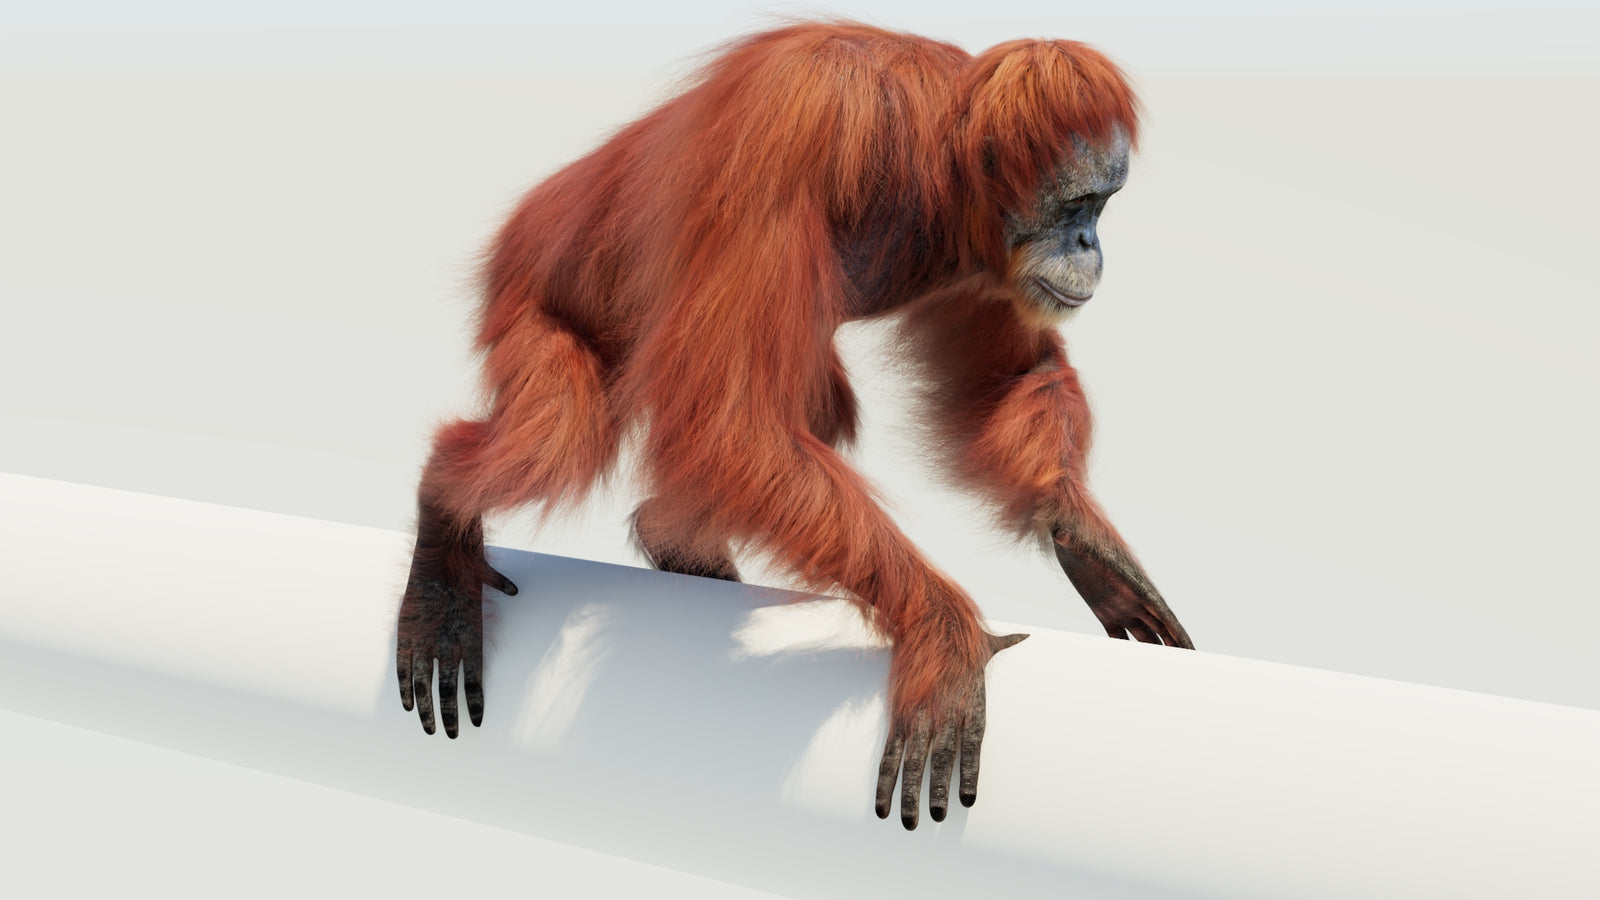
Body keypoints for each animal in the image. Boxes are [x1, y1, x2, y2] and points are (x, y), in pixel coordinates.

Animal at [395, 20, 1192, 831]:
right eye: (1078, 205)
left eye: (1103, 206)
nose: (1092, 245)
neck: (933, 156)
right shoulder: (796, 125)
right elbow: (731, 421)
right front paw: (940, 633)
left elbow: (1003, 381)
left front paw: (1084, 539)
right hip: (527, 295)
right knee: (562, 438)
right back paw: (445, 522)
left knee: (808, 406)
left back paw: (671, 537)